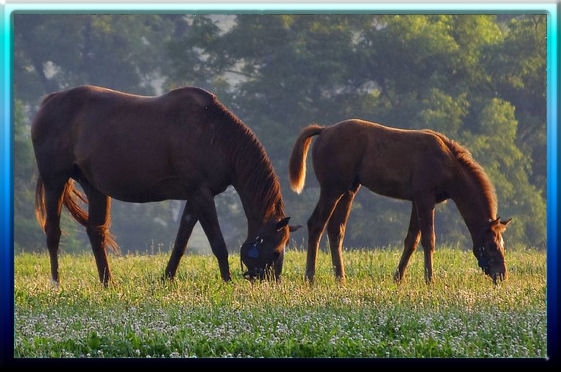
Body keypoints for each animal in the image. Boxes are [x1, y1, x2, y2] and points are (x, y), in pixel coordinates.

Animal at [31, 85, 298, 288]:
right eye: (275, 251)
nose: (272, 284)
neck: (214, 133)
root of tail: (48, 101)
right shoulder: (202, 195)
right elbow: (218, 244)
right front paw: (227, 281)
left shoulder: (195, 197)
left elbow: (181, 242)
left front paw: (167, 278)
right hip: (54, 182)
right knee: (53, 233)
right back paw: (56, 282)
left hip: (94, 188)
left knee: (96, 232)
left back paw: (108, 283)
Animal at [288, 119, 512, 284]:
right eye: (491, 244)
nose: (501, 275)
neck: (447, 163)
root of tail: (325, 130)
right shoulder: (425, 199)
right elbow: (428, 239)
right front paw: (429, 279)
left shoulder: (417, 201)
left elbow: (411, 240)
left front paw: (398, 278)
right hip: (332, 189)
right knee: (316, 224)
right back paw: (310, 278)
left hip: (348, 190)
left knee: (336, 229)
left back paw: (340, 278)